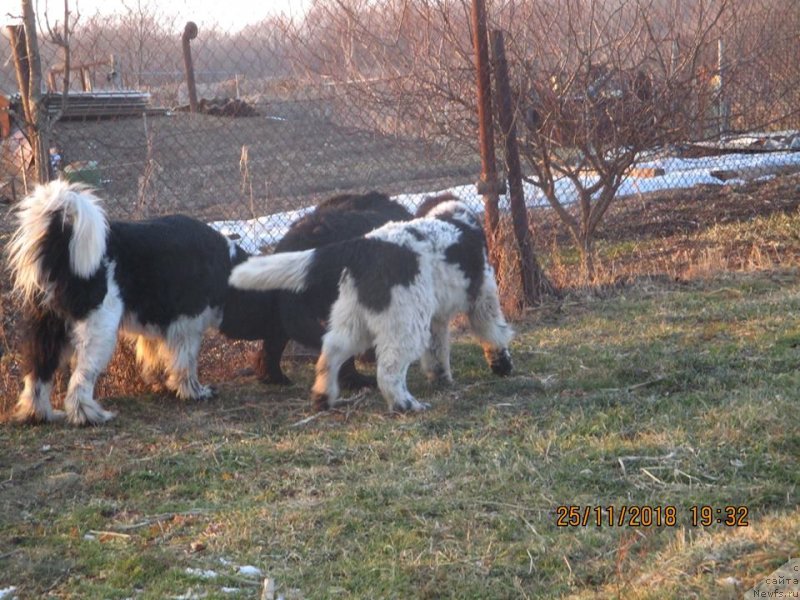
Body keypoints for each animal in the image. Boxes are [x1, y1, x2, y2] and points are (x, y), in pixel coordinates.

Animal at [6, 180, 245, 424]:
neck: (225, 264)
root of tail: (62, 246)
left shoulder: (158, 322)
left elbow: (155, 355)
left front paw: (161, 383)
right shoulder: (186, 325)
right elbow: (186, 363)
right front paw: (195, 392)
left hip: (48, 329)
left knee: (37, 376)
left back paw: (40, 413)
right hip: (98, 332)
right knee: (80, 380)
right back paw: (89, 415)